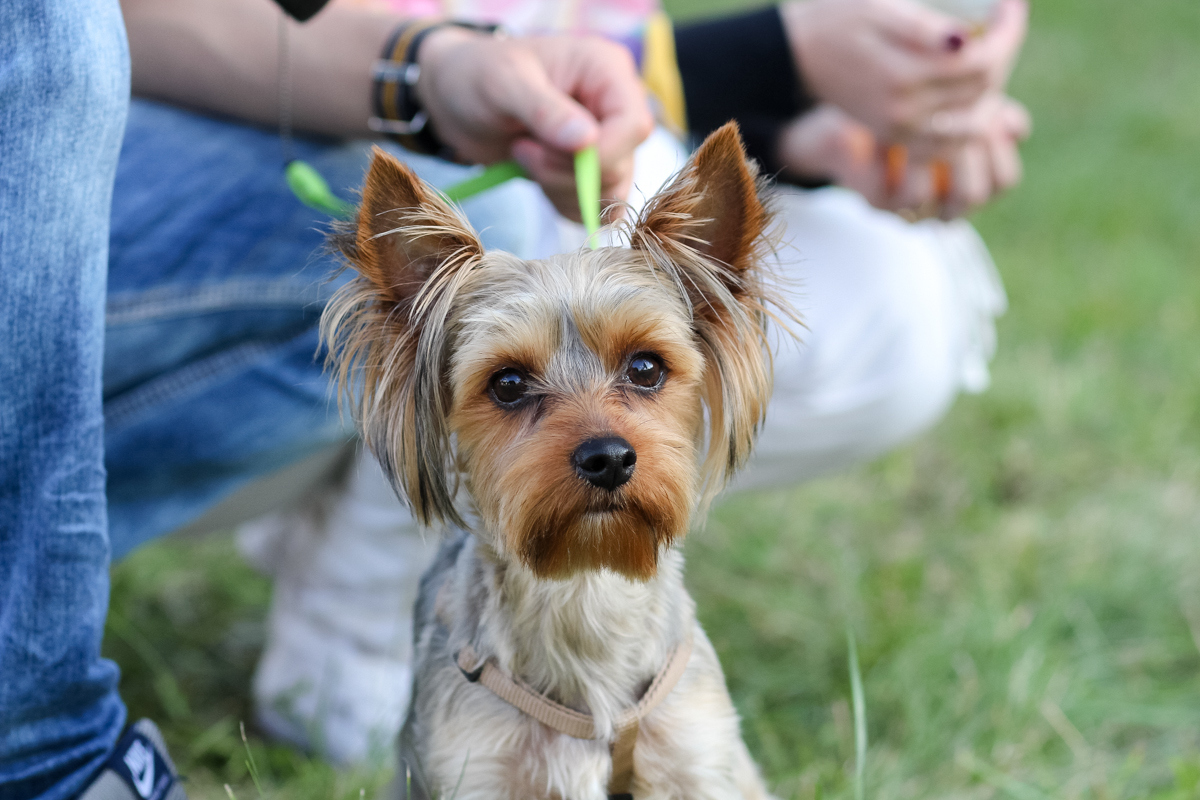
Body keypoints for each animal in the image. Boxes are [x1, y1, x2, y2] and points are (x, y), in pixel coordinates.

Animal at [321, 125, 787, 800]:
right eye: (509, 383)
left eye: (646, 367)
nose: (609, 458)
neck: (585, 589)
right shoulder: (475, 766)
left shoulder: (698, 758)